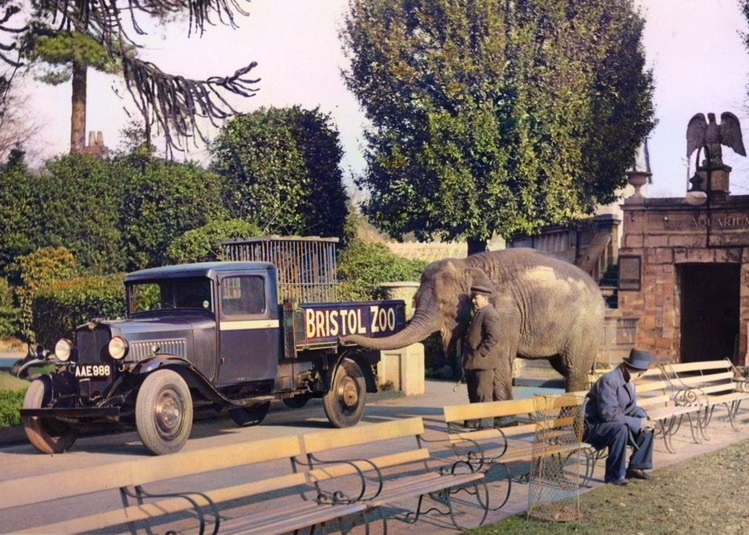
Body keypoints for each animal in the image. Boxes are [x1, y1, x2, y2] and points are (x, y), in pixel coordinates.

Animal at [342, 248, 604, 398]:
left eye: (445, 304)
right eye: (414, 300)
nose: (343, 339)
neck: (468, 264)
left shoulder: (505, 313)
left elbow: (500, 360)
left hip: (585, 327)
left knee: (574, 369)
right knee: (566, 368)